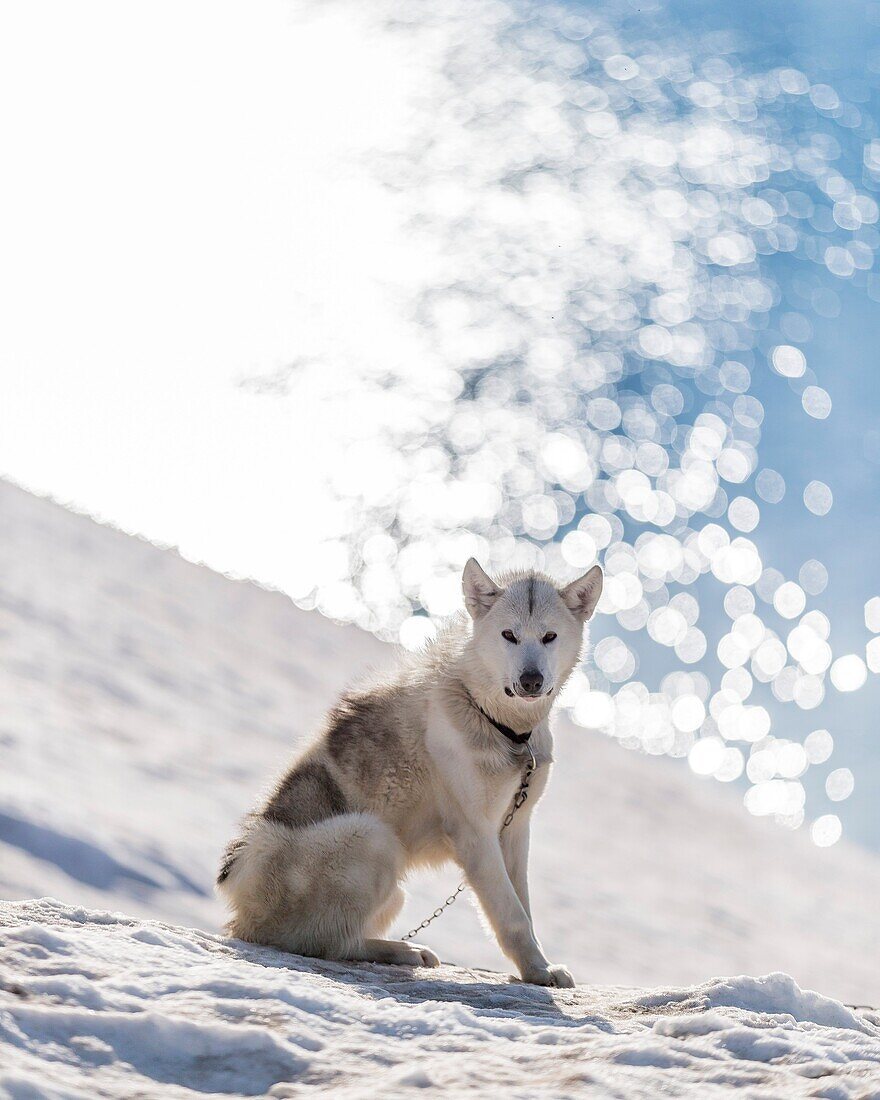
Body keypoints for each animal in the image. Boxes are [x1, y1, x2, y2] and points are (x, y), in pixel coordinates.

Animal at [220, 558, 607, 990]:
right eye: (509, 635)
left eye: (549, 637)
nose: (531, 681)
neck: (499, 724)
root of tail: (240, 908)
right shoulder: (475, 834)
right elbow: (512, 916)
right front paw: (539, 972)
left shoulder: (515, 829)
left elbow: (523, 907)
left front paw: (537, 968)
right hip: (371, 836)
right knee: (325, 943)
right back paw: (401, 951)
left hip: (392, 889)